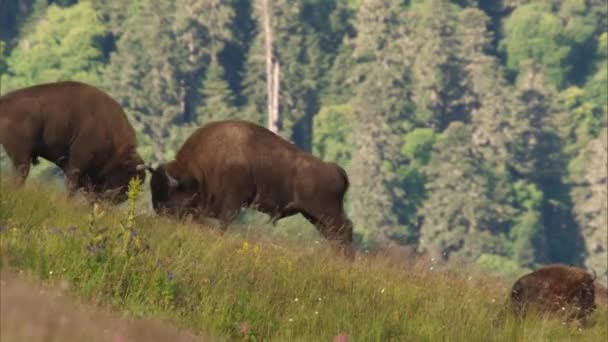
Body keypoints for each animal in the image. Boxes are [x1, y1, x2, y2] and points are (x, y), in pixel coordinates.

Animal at [0, 80, 146, 203]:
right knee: (20, 175)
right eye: (128, 176)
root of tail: (3, 102)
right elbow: (73, 184)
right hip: (22, 156)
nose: (119, 199)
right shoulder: (78, 162)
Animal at [148, 119, 356, 256]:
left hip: (326, 213)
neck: (197, 170)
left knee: (344, 229)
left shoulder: (231, 203)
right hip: (315, 216)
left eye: (168, 193)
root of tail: (335, 169)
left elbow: (224, 223)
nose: (159, 213)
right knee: (334, 235)